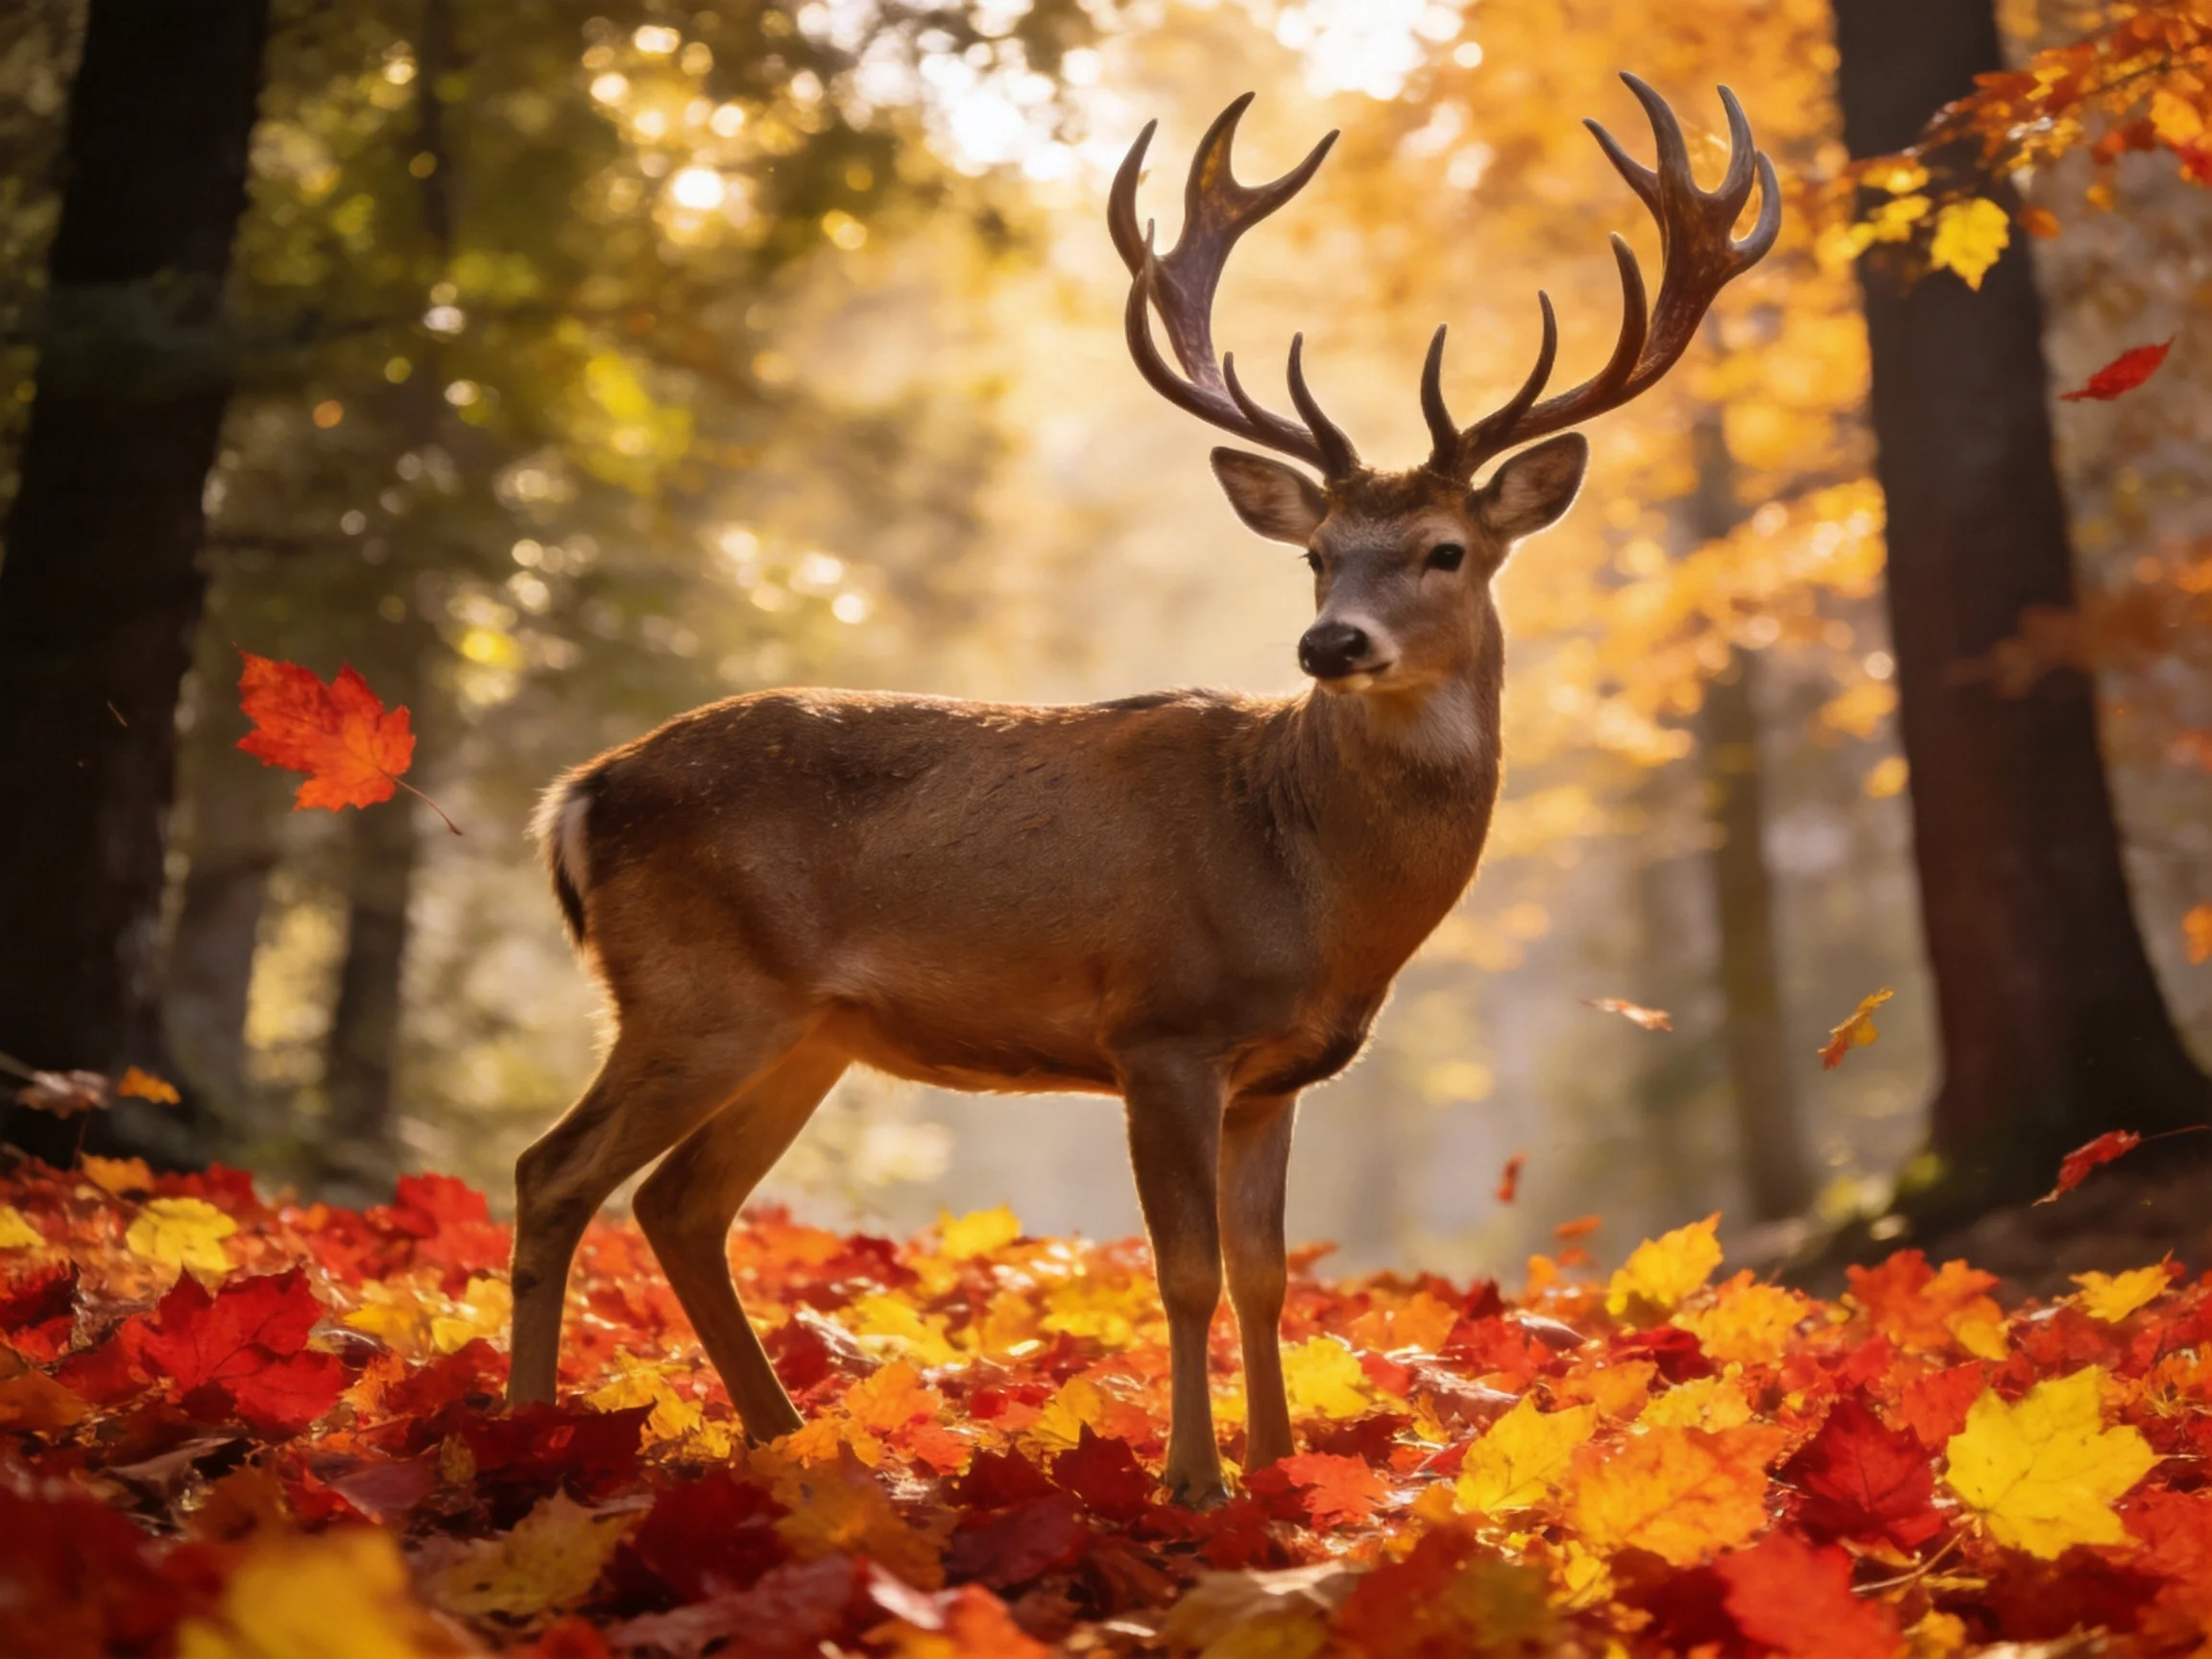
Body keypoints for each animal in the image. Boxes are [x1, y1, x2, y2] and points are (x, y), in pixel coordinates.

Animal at [506, 74, 1777, 1504]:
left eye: (1446, 550)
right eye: (1319, 553)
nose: (1331, 644)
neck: (1314, 885)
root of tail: (580, 796)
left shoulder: (1277, 1073)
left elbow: (1271, 1276)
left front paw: (1283, 1475)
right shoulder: (1160, 1026)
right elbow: (1186, 1274)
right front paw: (1192, 1482)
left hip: (805, 1029)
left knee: (681, 1203)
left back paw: (792, 1444)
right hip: (697, 991)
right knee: (554, 1171)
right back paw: (524, 1432)